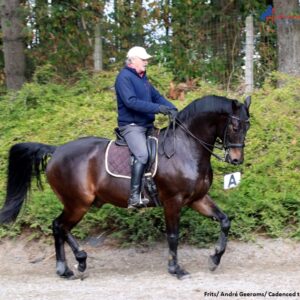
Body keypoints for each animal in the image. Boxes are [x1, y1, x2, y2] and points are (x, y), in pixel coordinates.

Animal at [0, 95, 251, 278]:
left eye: (247, 126)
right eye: (234, 125)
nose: (236, 160)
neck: (186, 147)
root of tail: (57, 151)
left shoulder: (197, 199)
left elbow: (225, 221)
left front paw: (215, 258)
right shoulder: (173, 201)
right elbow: (173, 235)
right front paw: (176, 269)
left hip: (81, 204)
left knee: (61, 227)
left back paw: (77, 263)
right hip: (77, 203)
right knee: (59, 226)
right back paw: (67, 267)